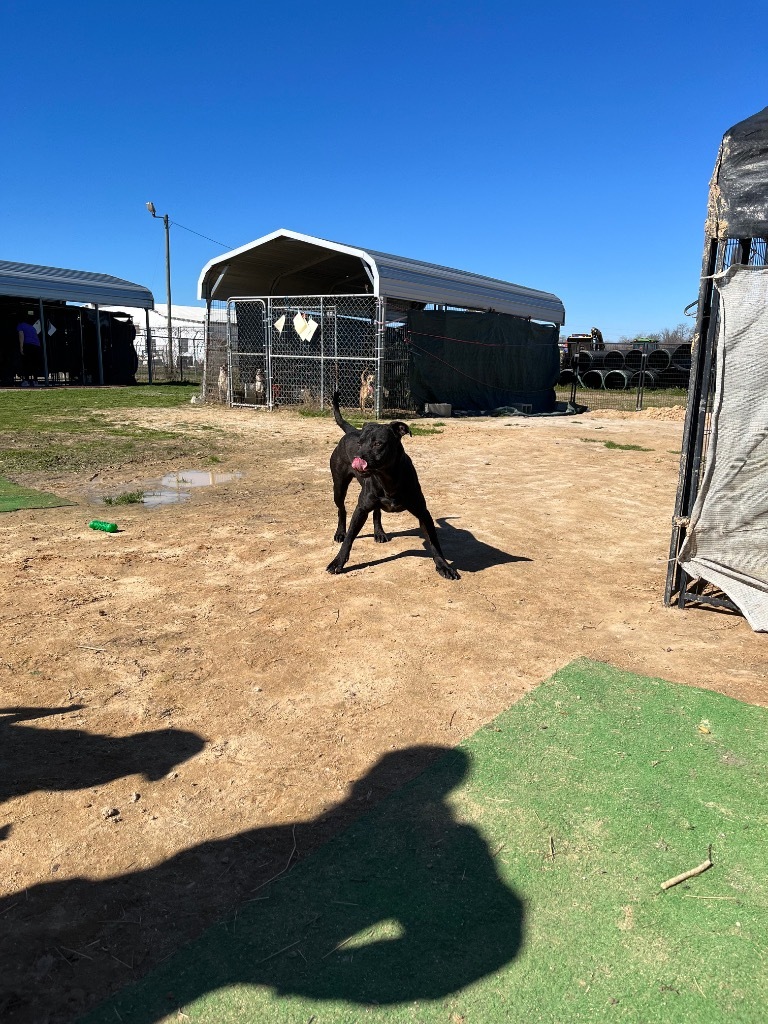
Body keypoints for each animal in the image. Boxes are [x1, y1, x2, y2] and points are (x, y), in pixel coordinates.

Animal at [327, 391, 460, 581]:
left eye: (378, 443)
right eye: (360, 443)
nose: (357, 460)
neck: (387, 478)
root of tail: (353, 431)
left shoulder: (423, 512)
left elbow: (434, 543)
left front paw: (444, 566)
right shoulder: (361, 509)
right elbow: (349, 538)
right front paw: (338, 561)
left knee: (376, 512)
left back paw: (379, 532)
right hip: (338, 487)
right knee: (342, 509)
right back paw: (340, 532)